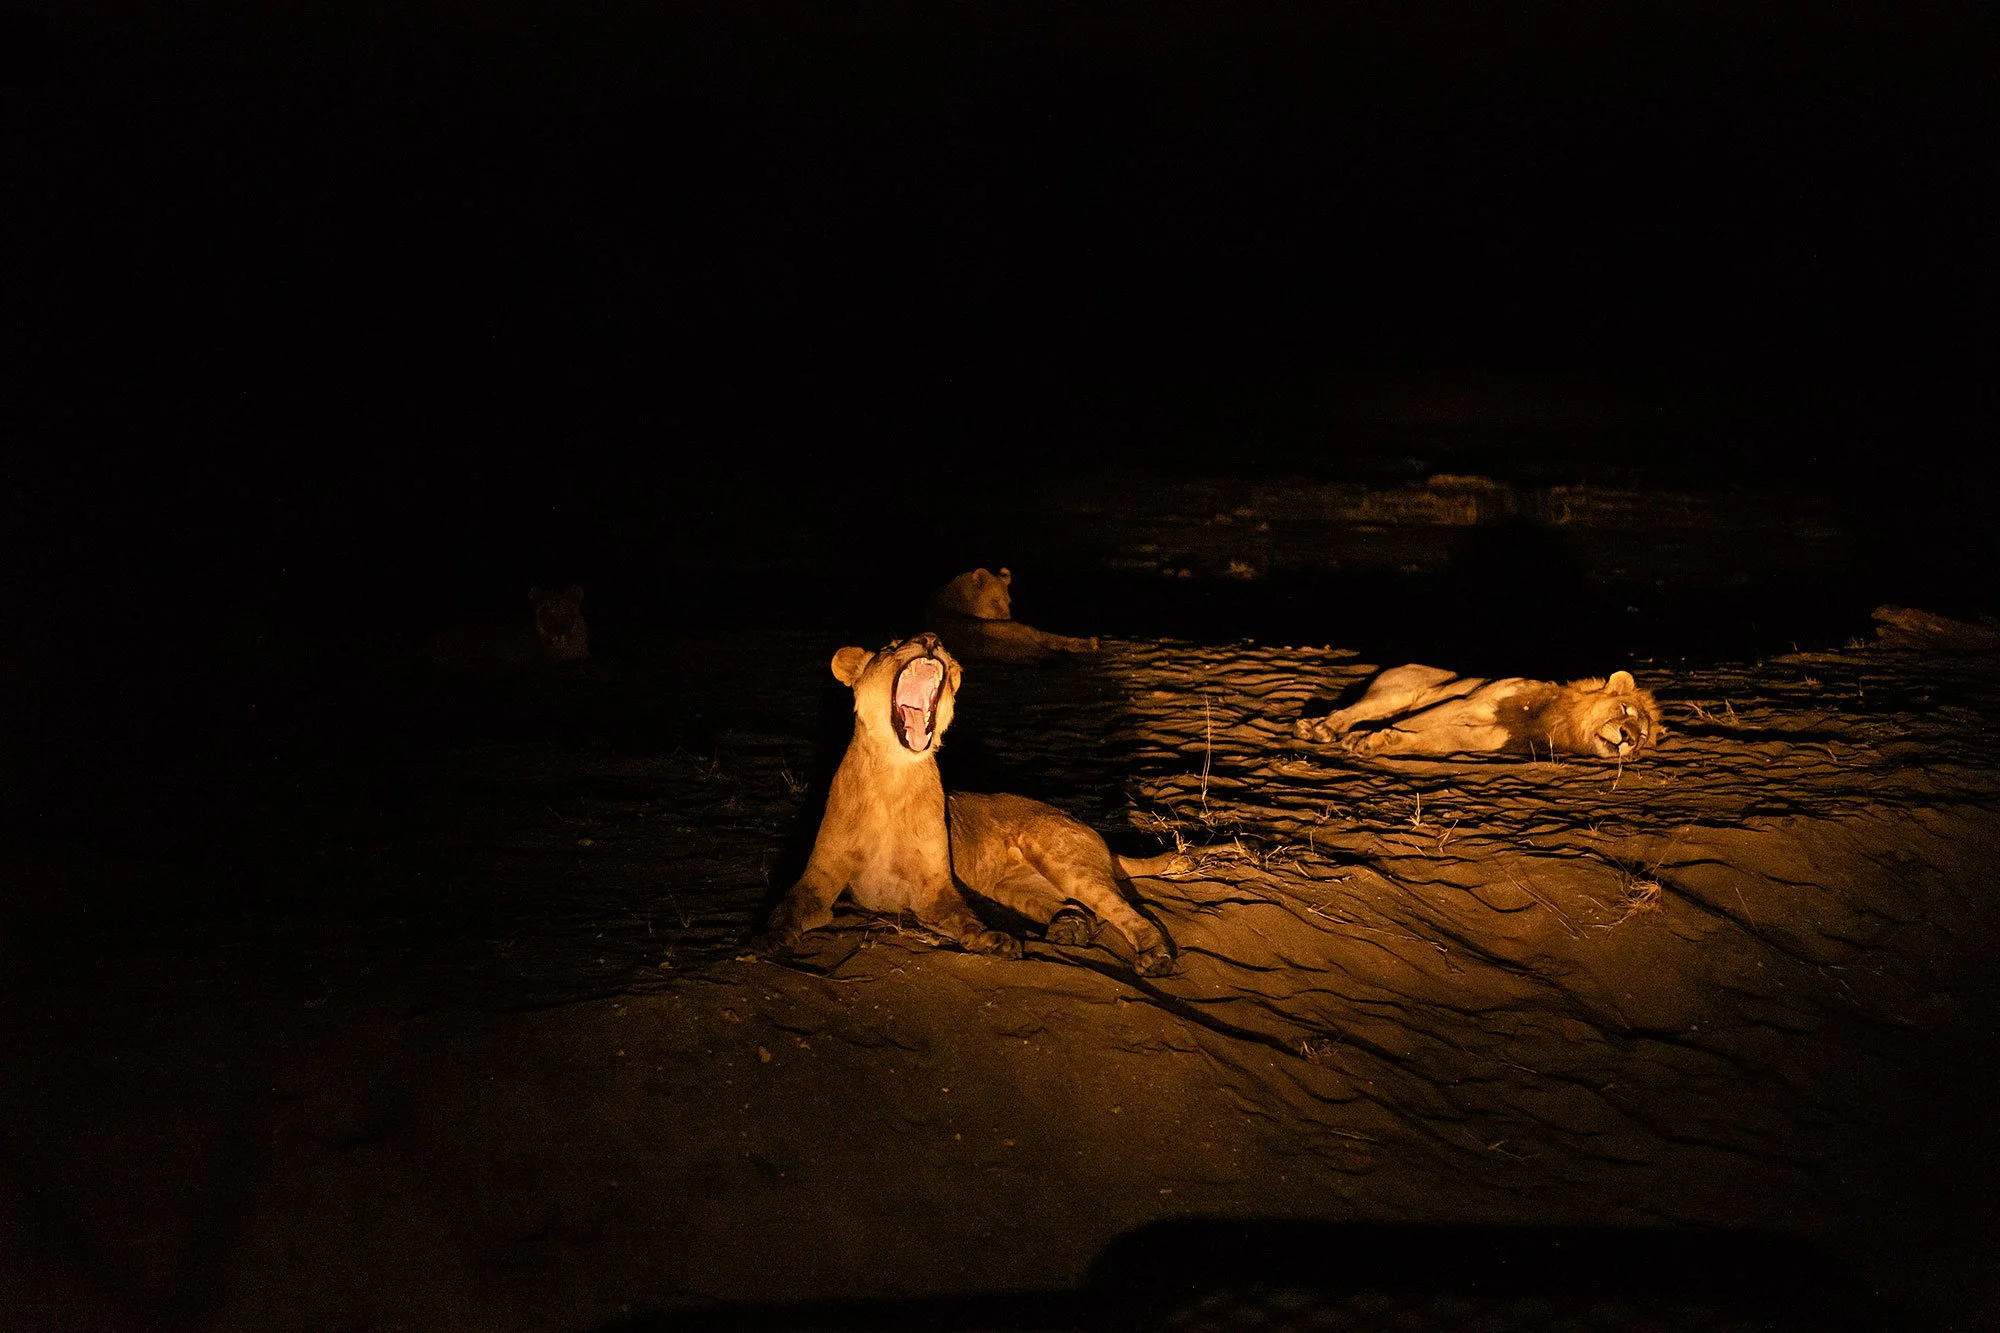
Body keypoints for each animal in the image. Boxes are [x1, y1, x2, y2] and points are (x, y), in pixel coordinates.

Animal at [760, 633, 1176, 975]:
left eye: (936, 643)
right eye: (893, 646)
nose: (931, 639)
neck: (893, 776)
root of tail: (1085, 826)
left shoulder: (936, 888)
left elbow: (964, 918)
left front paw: (994, 940)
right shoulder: (819, 877)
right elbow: (785, 908)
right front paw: (767, 940)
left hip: (1064, 859)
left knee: (1127, 912)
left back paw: (1155, 955)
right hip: (1015, 889)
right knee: (1078, 909)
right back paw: (1069, 929)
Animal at [1294, 663, 1661, 760]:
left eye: (1642, 736)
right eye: (1624, 708)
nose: (1628, 738)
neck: (1558, 722)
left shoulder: (1472, 738)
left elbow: (1422, 738)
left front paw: (1374, 742)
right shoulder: (1466, 702)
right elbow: (1417, 721)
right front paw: (1365, 739)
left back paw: (1311, 725)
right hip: (1395, 693)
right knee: (1346, 710)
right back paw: (1320, 728)